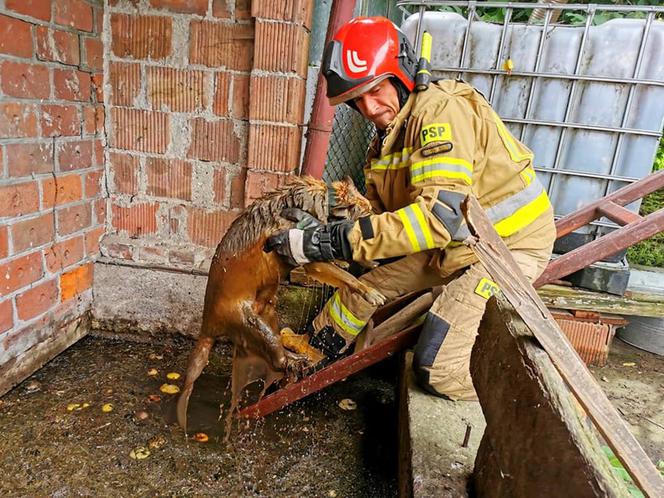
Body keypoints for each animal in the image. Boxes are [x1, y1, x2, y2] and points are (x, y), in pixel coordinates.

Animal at [176, 176, 384, 432]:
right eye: (368, 216)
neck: (321, 204)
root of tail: (208, 326)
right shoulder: (308, 257)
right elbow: (347, 277)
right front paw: (370, 291)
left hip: (268, 314)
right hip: (252, 324)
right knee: (277, 360)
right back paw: (296, 361)